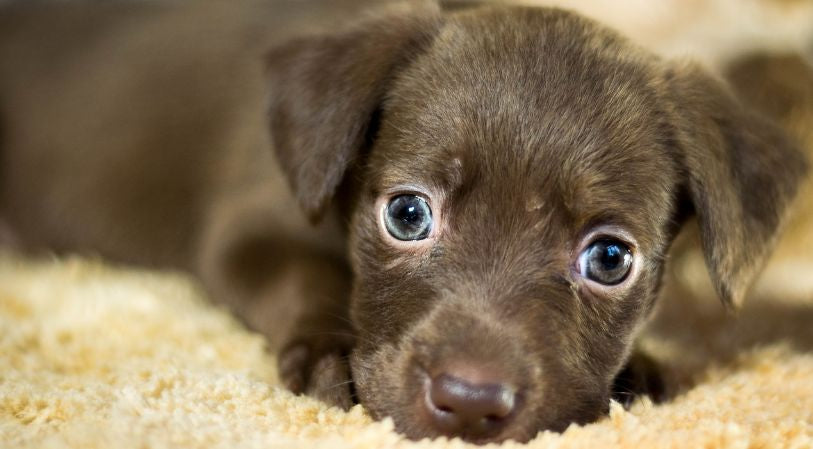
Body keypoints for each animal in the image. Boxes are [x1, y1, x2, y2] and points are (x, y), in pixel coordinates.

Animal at [0, 0, 804, 442]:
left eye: (610, 258)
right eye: (407, 214)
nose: (470, 404)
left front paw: (641, 369)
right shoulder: (246, 230)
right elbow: (306, 274)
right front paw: (328, 358)